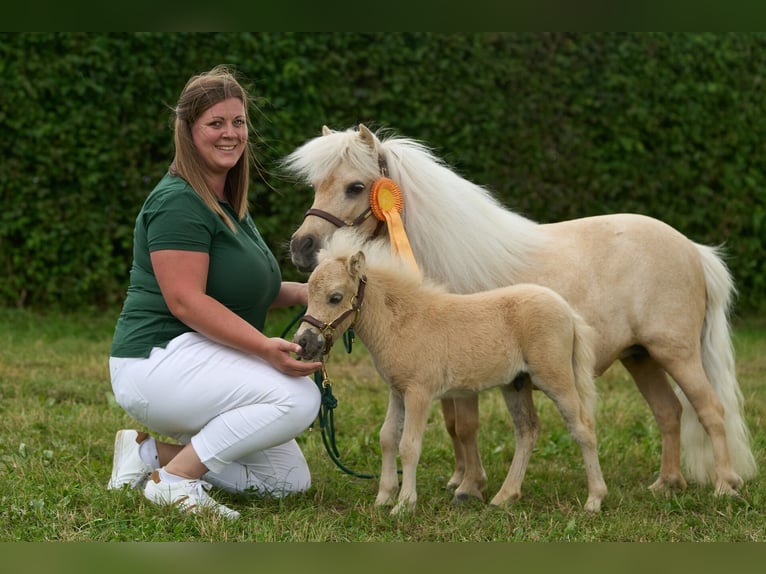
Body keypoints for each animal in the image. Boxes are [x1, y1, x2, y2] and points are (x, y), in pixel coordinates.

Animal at [296, 232, 608, 516]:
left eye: (335, 297)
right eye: (307, 293)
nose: (303, 342)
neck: (403, 321)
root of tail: (567, 310)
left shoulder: (419, 392)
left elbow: (409, 446)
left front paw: (404, 505)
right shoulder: (397, 391)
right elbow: (387, 438)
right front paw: (383, 498)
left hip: (555, 378)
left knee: (583, 427)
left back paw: (594, 500)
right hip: (516, 384)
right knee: (527, 430)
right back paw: (504, 497)